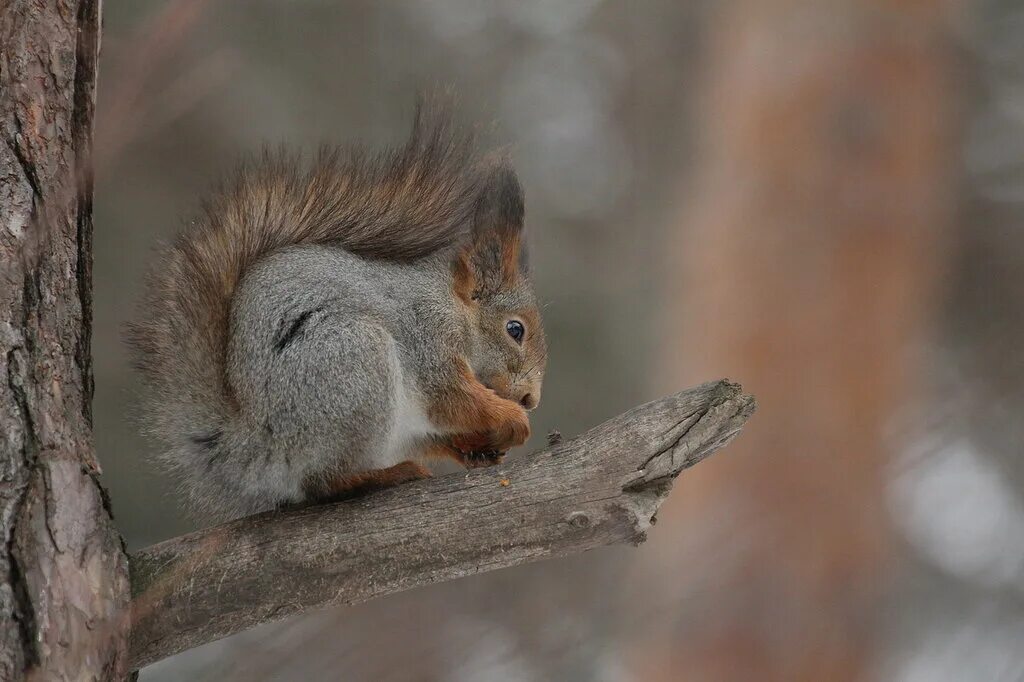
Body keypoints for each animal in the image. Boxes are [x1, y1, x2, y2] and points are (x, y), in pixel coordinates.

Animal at [128, 102, 548, 516]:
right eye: (515, 329)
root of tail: (258, 452)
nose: (531, 399)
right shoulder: (428, 337)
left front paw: (486, 442)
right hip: (353, 364)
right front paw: (513, 418)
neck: (453, 309)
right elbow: (451, 395)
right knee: (322, 482)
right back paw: (385, 475)